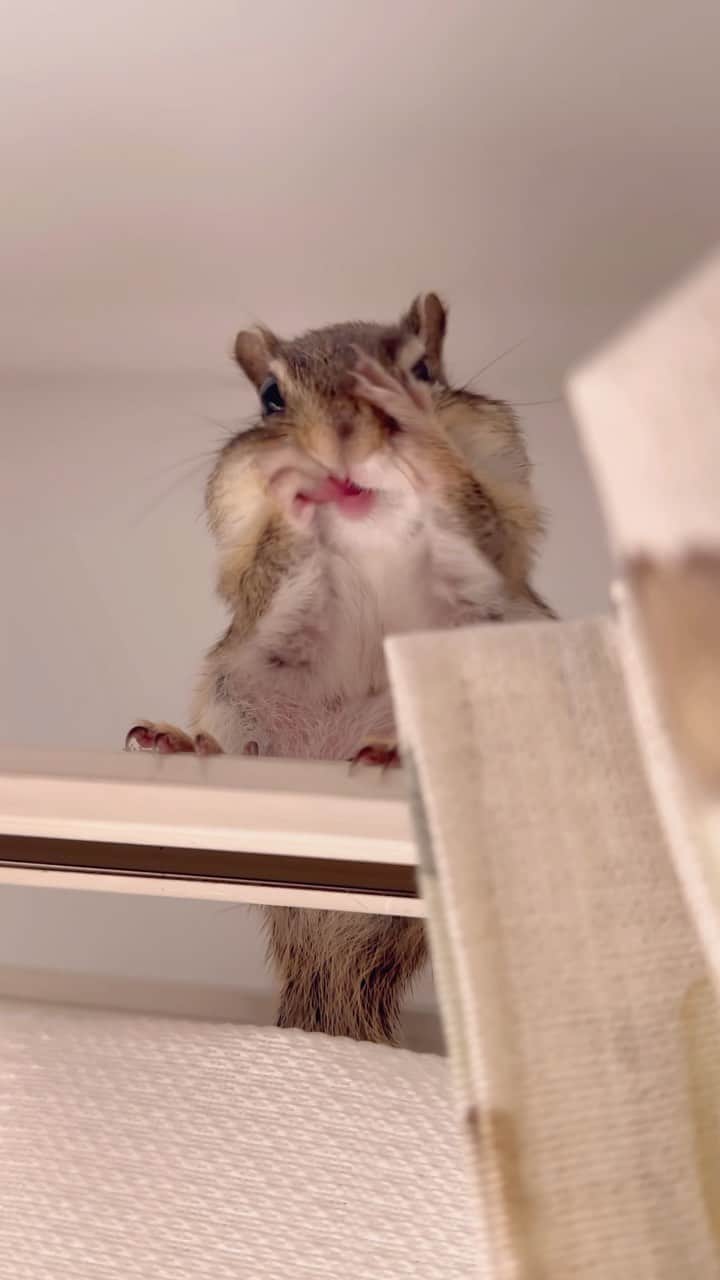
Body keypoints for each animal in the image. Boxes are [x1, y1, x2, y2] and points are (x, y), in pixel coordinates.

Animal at [126, 292, 553, 1044]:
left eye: (423, 369)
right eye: (270, 397)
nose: (341, 441)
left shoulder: (502, 494)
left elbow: (484, 522)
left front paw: (422, 443)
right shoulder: (240, 538)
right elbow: (261, 573)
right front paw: (291, 492)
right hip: (236, 693)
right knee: (240, 746)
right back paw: (186, 742)